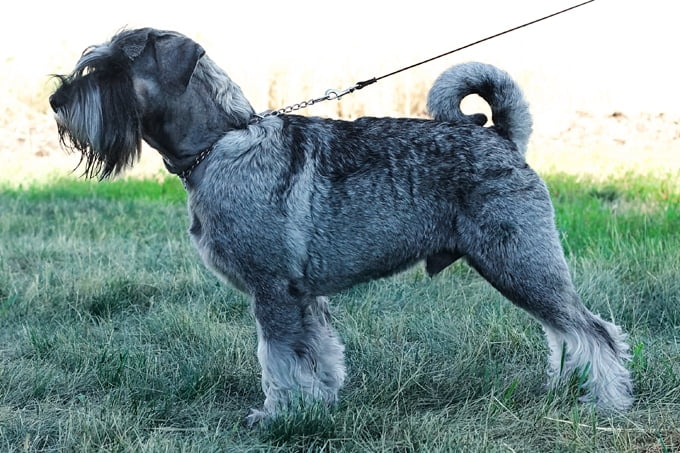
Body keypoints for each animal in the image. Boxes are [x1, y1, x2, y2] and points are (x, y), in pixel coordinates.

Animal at [50, 29, 636, 424]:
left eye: (111, 68)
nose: (56, 101)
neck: (220, 144)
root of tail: (502, 139)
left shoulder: (273, 292)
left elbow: (277, 360)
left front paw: (278, 417)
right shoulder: (303, 295)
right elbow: (317, 355)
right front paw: (317, 406)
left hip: (520, 263)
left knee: (594, 331)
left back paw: (605, 404)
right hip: (520, 269)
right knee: (564, 332)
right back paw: (567, 390)